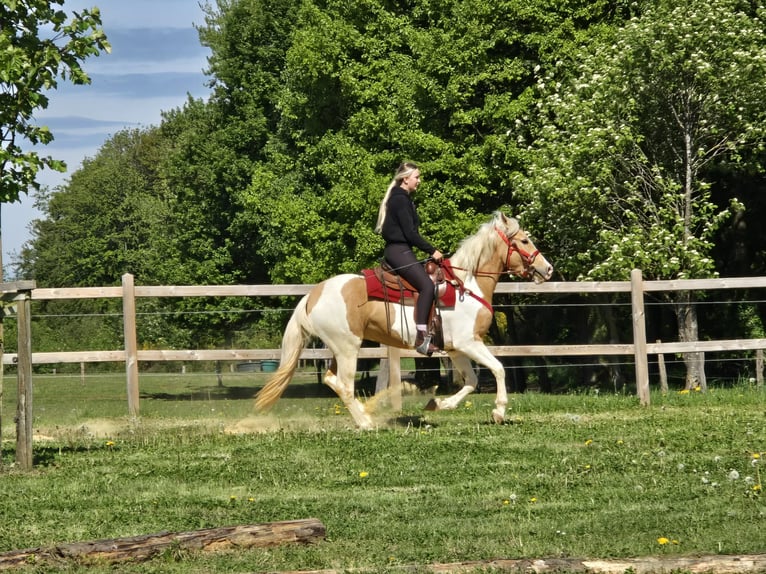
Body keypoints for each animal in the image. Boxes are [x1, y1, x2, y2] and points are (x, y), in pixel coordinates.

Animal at [255, 211, 553, 428]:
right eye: (524, 241)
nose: (547, 269)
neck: (466, 284)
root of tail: (313, 294)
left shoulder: (456, 349)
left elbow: (471, 381)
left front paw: (437, 404)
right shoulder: (470, 342)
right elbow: (499, 369)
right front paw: (499, 411)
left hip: (338, 349)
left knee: (332, 381)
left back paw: (367, 414)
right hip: (348, 348)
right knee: (346, 386)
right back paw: (366, 423)